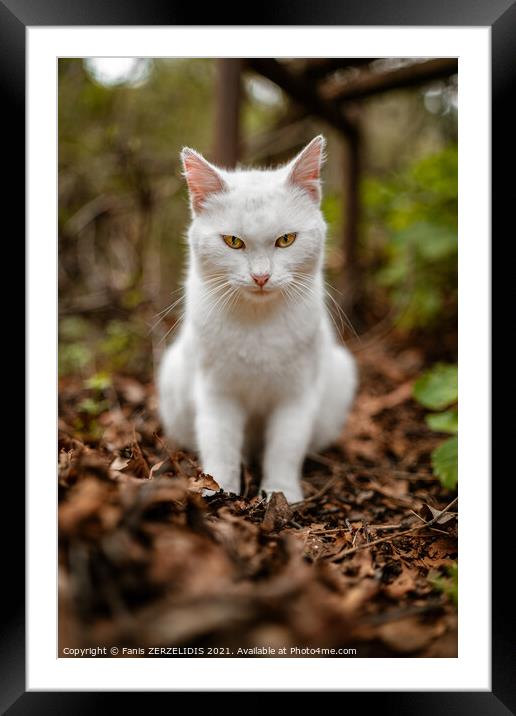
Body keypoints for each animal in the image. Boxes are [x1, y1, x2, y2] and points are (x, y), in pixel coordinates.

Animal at [159, 136, 356, 504]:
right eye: (233, 242)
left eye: (286, 240)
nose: (261, 277)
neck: (259, 325)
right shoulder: (217, 393)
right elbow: (220, 444)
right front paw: (218, 490)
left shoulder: (296, 396)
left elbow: (285, 448)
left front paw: (282, 495)